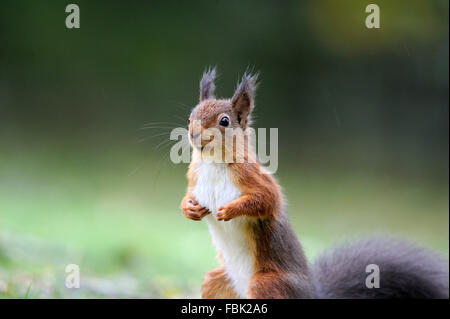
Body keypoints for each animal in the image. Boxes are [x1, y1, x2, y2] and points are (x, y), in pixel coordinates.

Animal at [178, 68, 446, 300]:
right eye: (191, 116)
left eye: (224, 121)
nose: (192, 133)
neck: (213, 162)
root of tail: (311, 294)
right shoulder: (194, 177)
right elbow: (188, 195)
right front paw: (190, 208)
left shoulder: (254, 177)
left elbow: (266, 200)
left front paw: (229, 210)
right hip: (217, 282)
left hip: (266, 284)